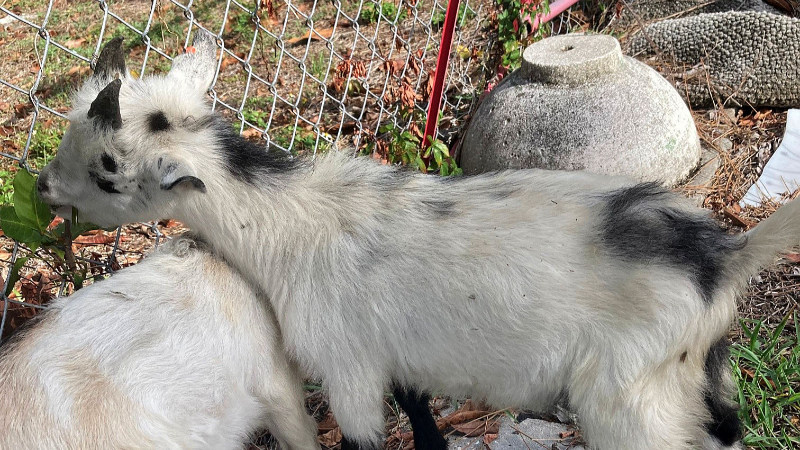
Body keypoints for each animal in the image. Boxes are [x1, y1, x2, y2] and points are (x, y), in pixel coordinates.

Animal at [39, 30, 799, 450]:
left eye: (107, 171)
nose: (45, 189)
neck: (286, 220)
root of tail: (725, 256)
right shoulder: (396, 361)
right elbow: (426, 429)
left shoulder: (346, 366)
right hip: (699, 371)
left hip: (630, 397)